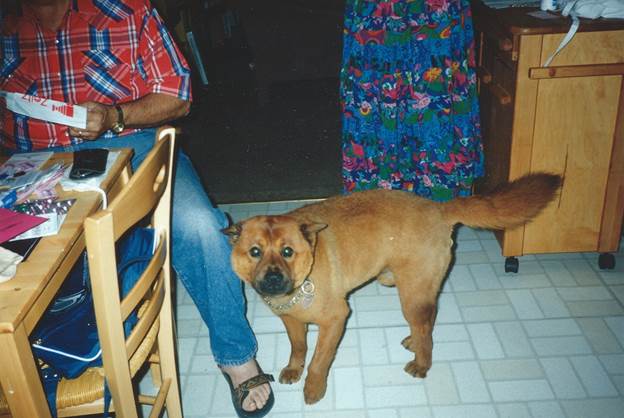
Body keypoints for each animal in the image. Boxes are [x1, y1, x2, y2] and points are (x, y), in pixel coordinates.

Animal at [223, 171, 560, 404]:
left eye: (287, 251)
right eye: (255, 252)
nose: (272, 279)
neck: (301, 283)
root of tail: (439, 208)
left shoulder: (335, 320)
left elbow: (319, 361)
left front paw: (313, 388)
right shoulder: (291, 321)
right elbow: (299, 348)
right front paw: (295, 369)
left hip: (411, 295)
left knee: (425, 328)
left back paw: (422, 363)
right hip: (417, 290)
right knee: (429, 322)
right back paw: (415, 341)